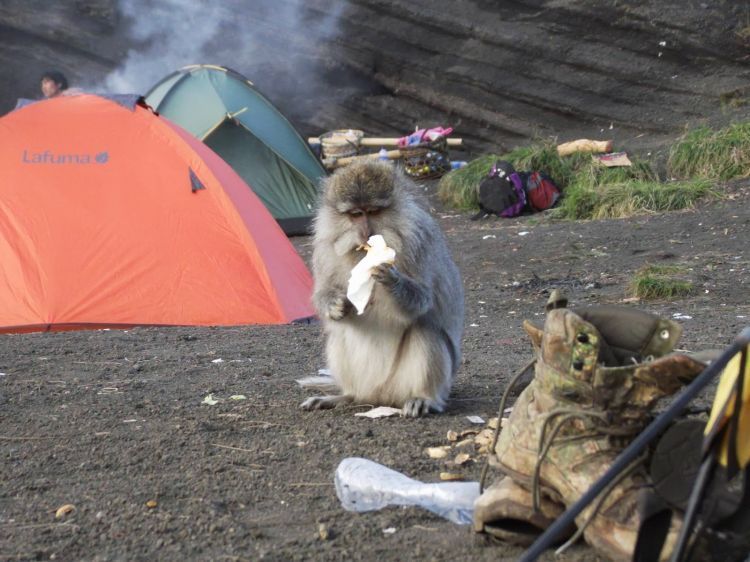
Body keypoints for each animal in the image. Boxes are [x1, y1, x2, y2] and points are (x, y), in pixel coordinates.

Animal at [298, 160, 464, 414]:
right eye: (356, 214)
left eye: (374, 211)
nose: (366, 233)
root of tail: (379, 396)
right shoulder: (324, 249)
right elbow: (323, 293)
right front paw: (334, 304)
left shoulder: (419, 242)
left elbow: (423, 299)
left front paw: (391, 279)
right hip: (365, 383)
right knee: (338, 334)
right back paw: (346, 396)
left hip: (404, 385)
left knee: (425, 329)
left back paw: (425, 398)